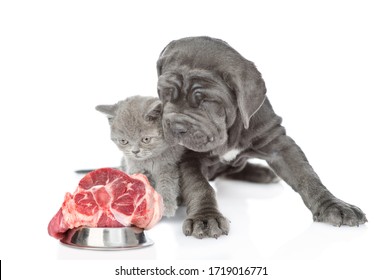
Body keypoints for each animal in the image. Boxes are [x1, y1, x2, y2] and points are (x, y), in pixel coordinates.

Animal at [156, 36, 366, 238]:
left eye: (206, 100)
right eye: (164, 93)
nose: (176, 126)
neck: (229, 132)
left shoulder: (277, 142)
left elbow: (306, 175)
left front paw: (334, 205)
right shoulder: (188, 158)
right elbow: (199, 186)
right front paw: (206, 218)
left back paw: (262, 173)